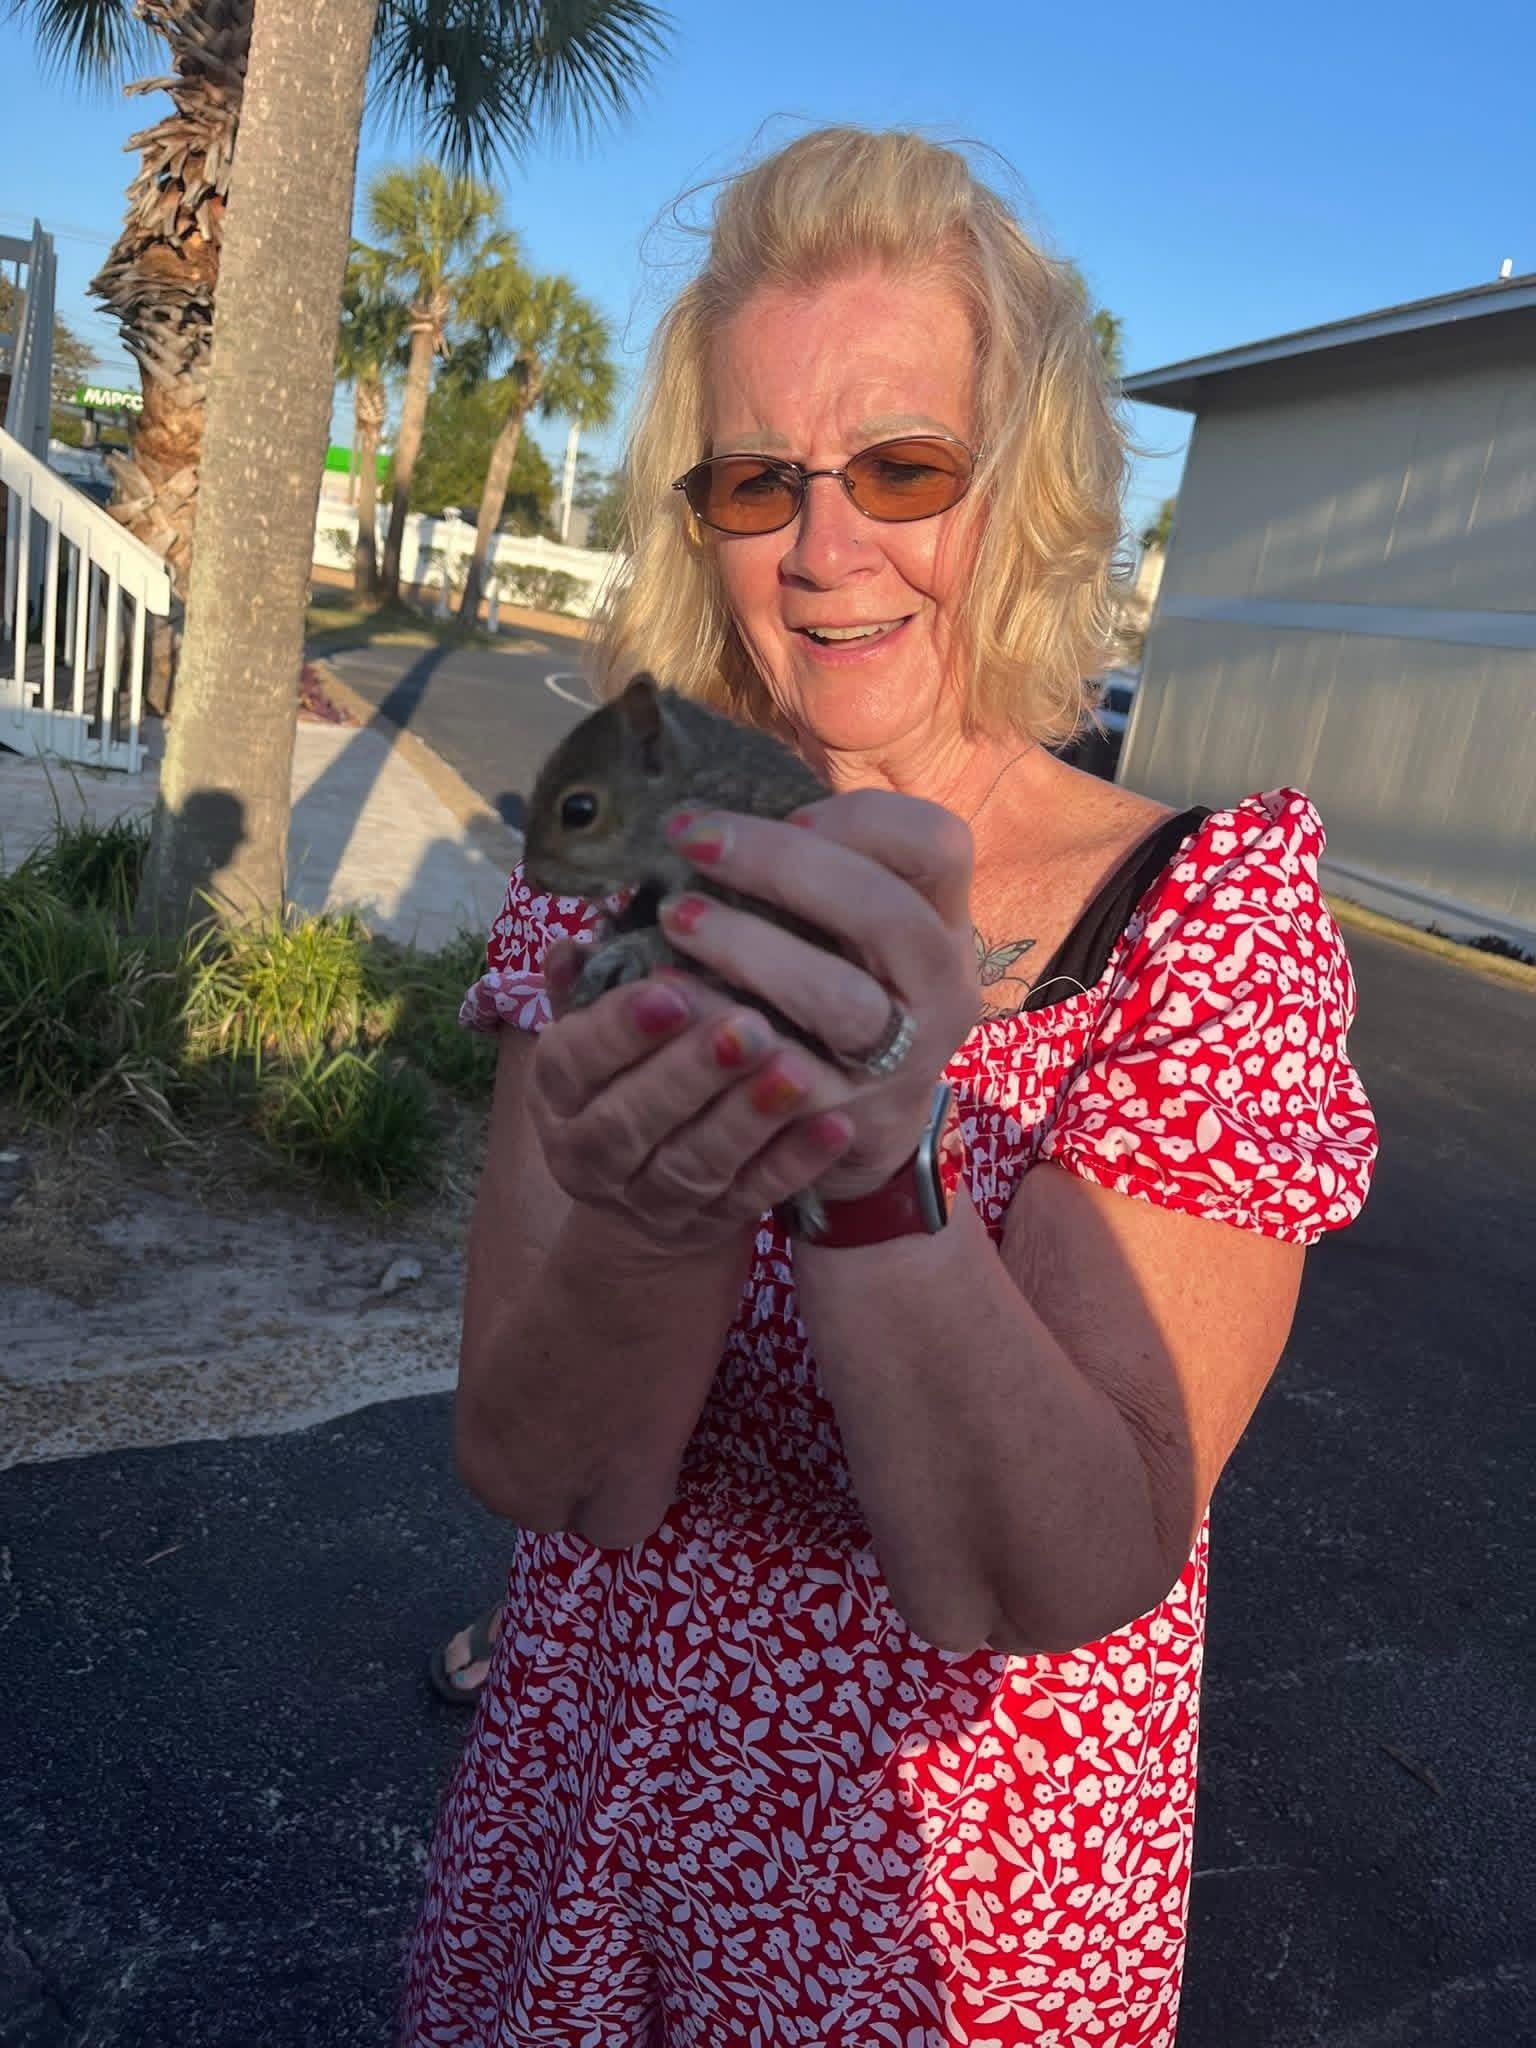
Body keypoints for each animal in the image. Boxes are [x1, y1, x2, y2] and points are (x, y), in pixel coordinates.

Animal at [521, 672, 848, 1235]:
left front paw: (628, 952)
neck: (690, 788)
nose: (534, 878)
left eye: (578, 810)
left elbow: (684, 942)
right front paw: (611, 932)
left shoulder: (743, 894)